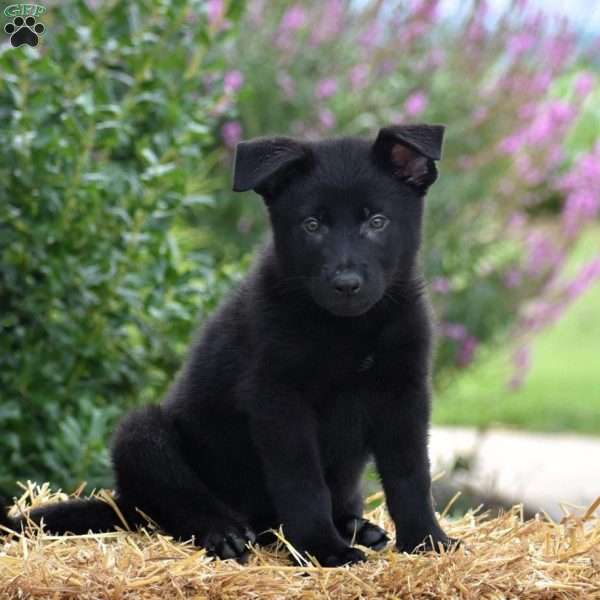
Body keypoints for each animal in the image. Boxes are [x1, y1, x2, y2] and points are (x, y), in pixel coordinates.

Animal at [0, 123, 452, 568]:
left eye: (377, 221)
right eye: (311, 225)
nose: (346, 284)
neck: (347, 330)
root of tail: (124, 504)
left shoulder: (404, 391)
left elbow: (411, 475)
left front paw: (427, 541)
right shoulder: (278, 400)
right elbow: (303, 483)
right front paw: (323, 549)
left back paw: (356, 527)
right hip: (142, 436)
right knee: (182, 503)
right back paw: (227, 535)